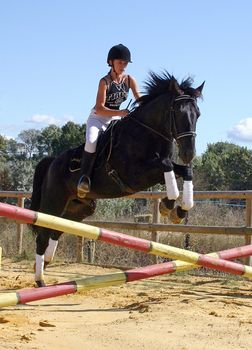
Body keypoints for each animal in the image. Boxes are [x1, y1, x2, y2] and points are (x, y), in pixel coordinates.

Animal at [30, 69, 203, 286]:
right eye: (178, 112)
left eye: (197, 114)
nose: (189, 154)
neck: (147, 132)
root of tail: (53, 161)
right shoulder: (134, 175)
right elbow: (167, 165)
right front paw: (169, 204)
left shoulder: (153, 173)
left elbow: (184, 171)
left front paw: (178, 209)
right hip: (54, 201)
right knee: (42, 234)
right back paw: (40, 281)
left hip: (79, 208)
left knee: (56, 229)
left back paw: (45, 265)